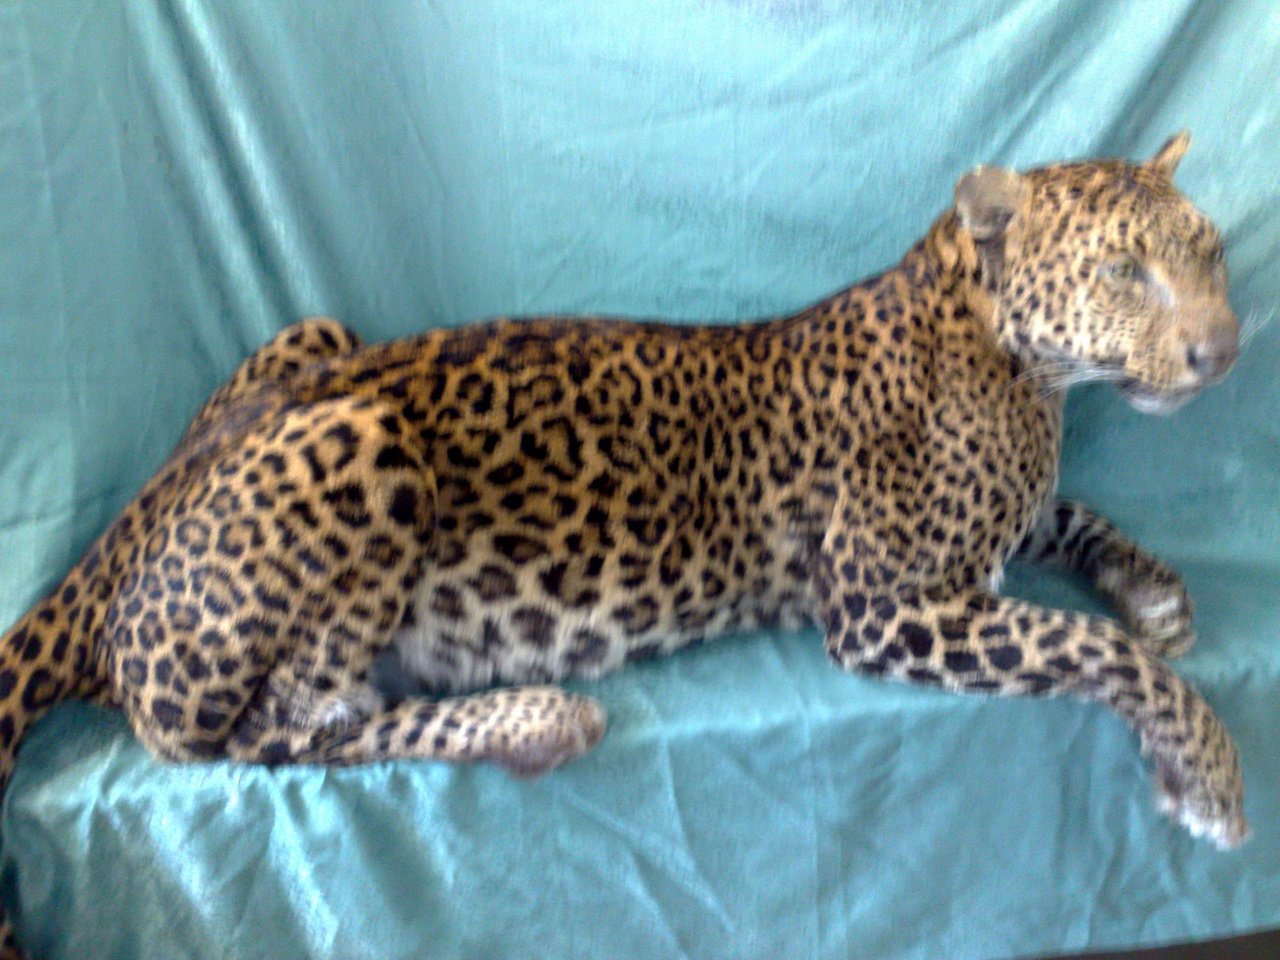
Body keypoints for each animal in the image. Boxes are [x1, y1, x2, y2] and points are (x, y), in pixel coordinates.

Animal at [0, 132, 1245, 959]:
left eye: (1210, 253)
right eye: (1122, 271)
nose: (1224, 351)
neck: (1025, 378)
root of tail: (122, 531)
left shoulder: (996, 533)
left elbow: (1072, 521)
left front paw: (1152, 587)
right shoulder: (887, 607)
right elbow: (1086, 648)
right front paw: (1205, 768)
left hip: (317, 333)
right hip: (361, 435)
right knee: (270, 731)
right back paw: (534, 718)